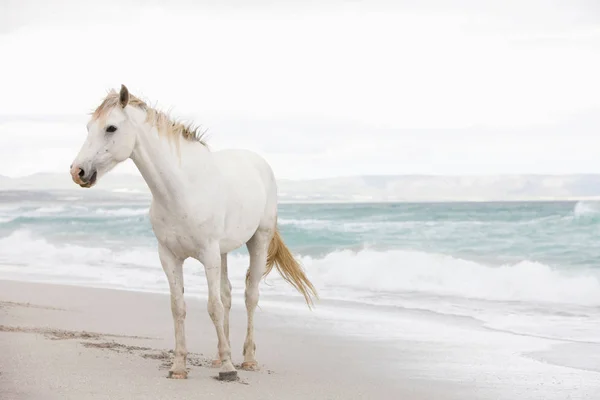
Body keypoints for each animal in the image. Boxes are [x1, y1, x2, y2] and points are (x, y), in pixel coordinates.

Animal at [69, 85, 318, 382]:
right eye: (88, 127)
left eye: (111, 128)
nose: (78, 171)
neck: (182, 190)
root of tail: (259, 162)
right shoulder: (169, 257)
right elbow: (179, 307)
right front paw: (179, 366)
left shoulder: (208, 254)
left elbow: (213, 306)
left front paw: (228, 369)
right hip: (223, 252)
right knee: (228, 295)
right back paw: (220, 355)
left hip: (258, 240)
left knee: (250, 296)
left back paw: (247, 359)